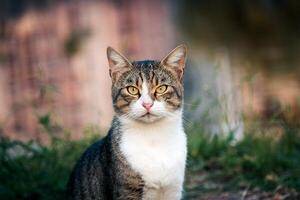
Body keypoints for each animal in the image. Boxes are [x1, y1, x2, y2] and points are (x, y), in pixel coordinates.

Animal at [68, 44, 188, 199]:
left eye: (162, 88)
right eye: (132, 90)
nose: (147, 104)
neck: (153, 138)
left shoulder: (173, 189)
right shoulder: (127, 190)